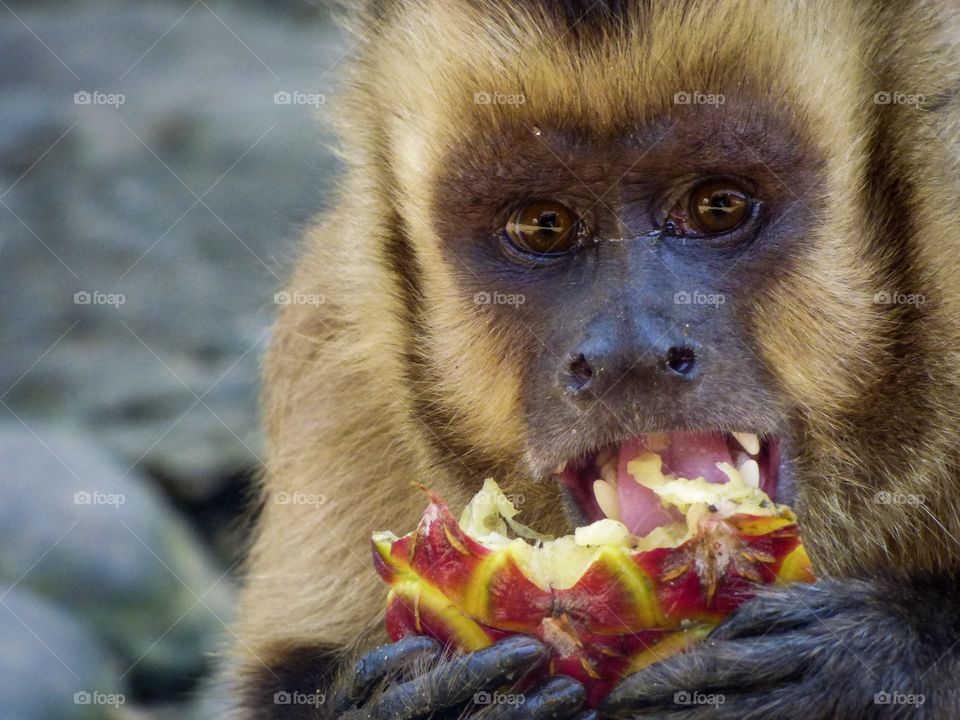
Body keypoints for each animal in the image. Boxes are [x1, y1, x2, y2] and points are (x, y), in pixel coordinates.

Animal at [227, 0, 960, 717]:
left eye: (718, 206)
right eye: (543, 225)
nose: (627, 354)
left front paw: (869, 653)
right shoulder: (336, 322)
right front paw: (433, 699)